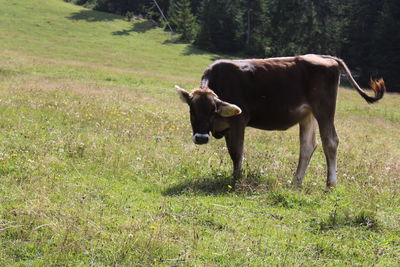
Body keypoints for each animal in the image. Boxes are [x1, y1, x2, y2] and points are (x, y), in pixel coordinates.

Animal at [176, 54, 384, 188]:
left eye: (213, 111)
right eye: (192, 110)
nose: (201, 138)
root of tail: (327, 58)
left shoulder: (239, 121)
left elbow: (237, 153)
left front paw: (236, 180)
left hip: (324, 108)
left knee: (330, 141)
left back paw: (330, 184)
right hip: (307, 114)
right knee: (307, 145)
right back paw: (295, 182)